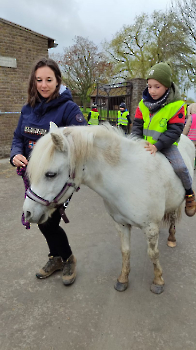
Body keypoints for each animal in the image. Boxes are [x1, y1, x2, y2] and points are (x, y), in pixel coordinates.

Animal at [22, 121, 194, 294]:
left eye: (50, 174)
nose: (27, 213)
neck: (128, 178)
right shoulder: (121, 224)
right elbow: (125, 251)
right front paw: (123, 279)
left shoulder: (150, 227)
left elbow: (153, 254)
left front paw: (158, 281)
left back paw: (173, 235)